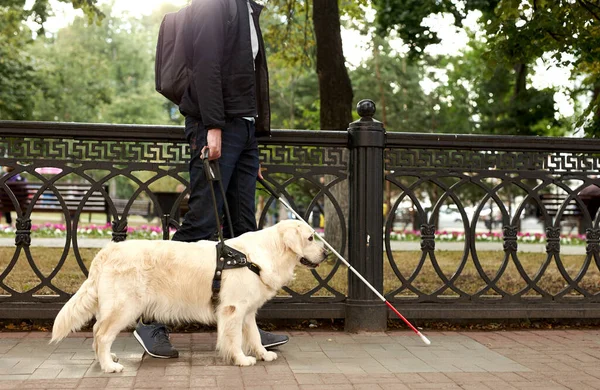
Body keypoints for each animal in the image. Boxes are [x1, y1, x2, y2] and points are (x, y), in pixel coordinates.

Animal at [50, 221, 328, 374]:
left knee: (97, 331)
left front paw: (263, 354)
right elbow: (234, 340)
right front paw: (240, 359)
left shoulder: (247, 311)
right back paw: (109, 366)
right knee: (101, 334)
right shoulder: (232, 309)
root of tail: (106, 252)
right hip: (124, 307)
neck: (254, 258)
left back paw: (106, 358)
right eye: (311, 237)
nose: (326, 254)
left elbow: (255, 336)